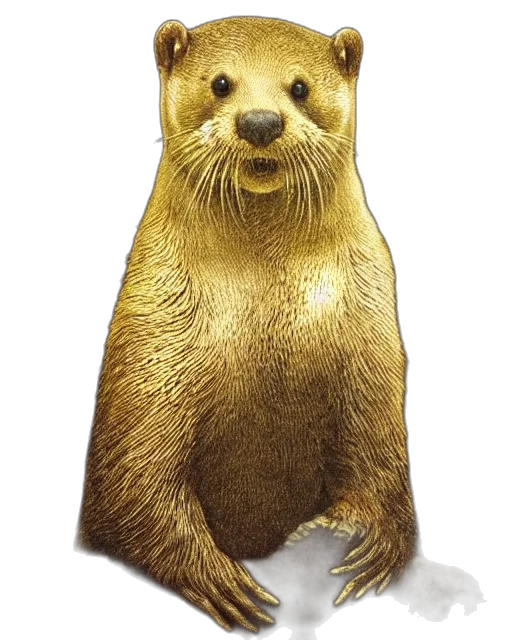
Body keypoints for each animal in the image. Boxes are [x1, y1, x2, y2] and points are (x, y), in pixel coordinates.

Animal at [75, 18, 420, 634]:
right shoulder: (149, 355)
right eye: (220, 82)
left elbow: (380, 458)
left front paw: (357, 543)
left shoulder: (373, 351)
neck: (266, 326)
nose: (261, 121)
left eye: (300, 87)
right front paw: (219, 582)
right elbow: (133, 486)